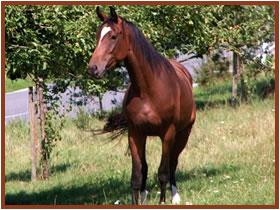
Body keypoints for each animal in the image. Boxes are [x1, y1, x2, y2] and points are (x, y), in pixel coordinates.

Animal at [88, 6, 196, 205]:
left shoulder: (167, 134)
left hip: (183, 133)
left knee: (173, 163)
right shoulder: (135, 133)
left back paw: (175, 196)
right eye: (98, 35)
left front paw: (162, 201)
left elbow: (163, 172)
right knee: (146, 168)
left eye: (113, 36)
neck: (148, 89)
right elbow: (137, 175)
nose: (93, 68)